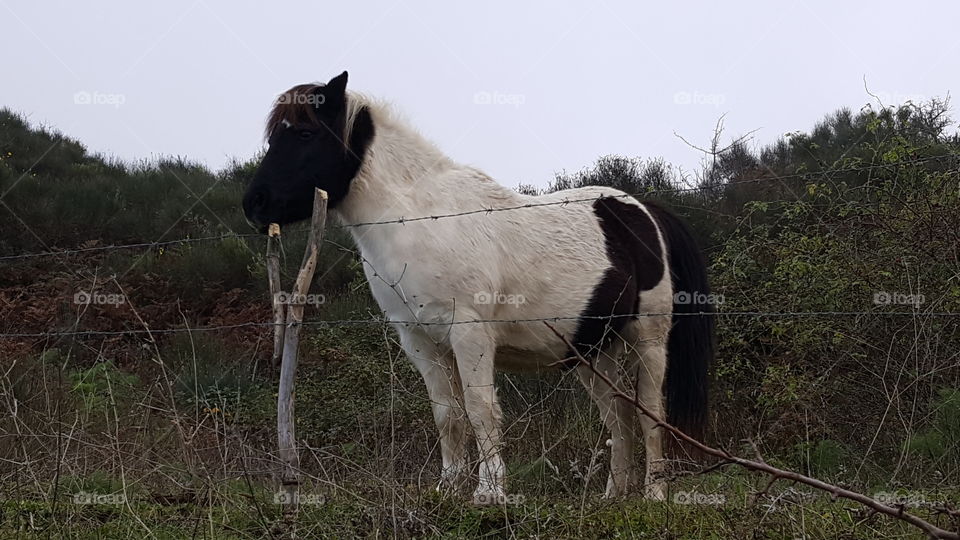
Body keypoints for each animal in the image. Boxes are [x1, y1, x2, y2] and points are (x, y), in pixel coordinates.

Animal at [242, 71, 715, 504]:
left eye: (305, 132)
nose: (254, 204)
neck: (419, 219)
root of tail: (644, 211)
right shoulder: (418, 338)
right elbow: (447, 415)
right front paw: (448, 488)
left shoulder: (469, 332)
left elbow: (480, 410)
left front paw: (489, 492)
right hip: (594, 352)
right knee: (618, 416)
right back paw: (613, 495)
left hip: (647, 339)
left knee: (651, 413)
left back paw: (654, 493)